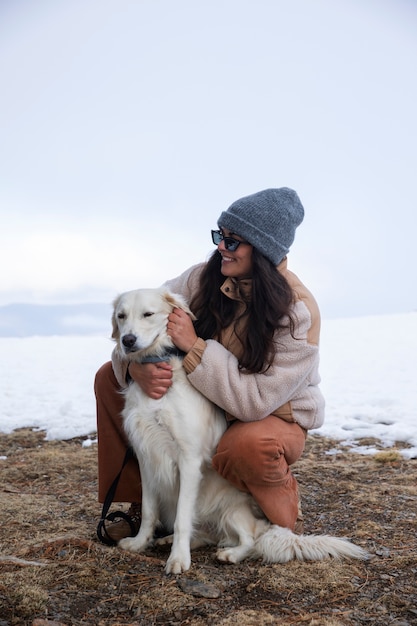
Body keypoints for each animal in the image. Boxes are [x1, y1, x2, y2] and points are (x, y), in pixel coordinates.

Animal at [111, 286, 368, 572]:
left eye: (148, 314)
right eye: (121, 316)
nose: (128, 340)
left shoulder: (189, 459)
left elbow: (181, 519)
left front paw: (178, 559)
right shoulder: (146, 457)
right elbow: (148, 510)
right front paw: (139, 543)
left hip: (233, 509)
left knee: (251, 539)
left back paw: (230, 554)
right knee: (206, 534)